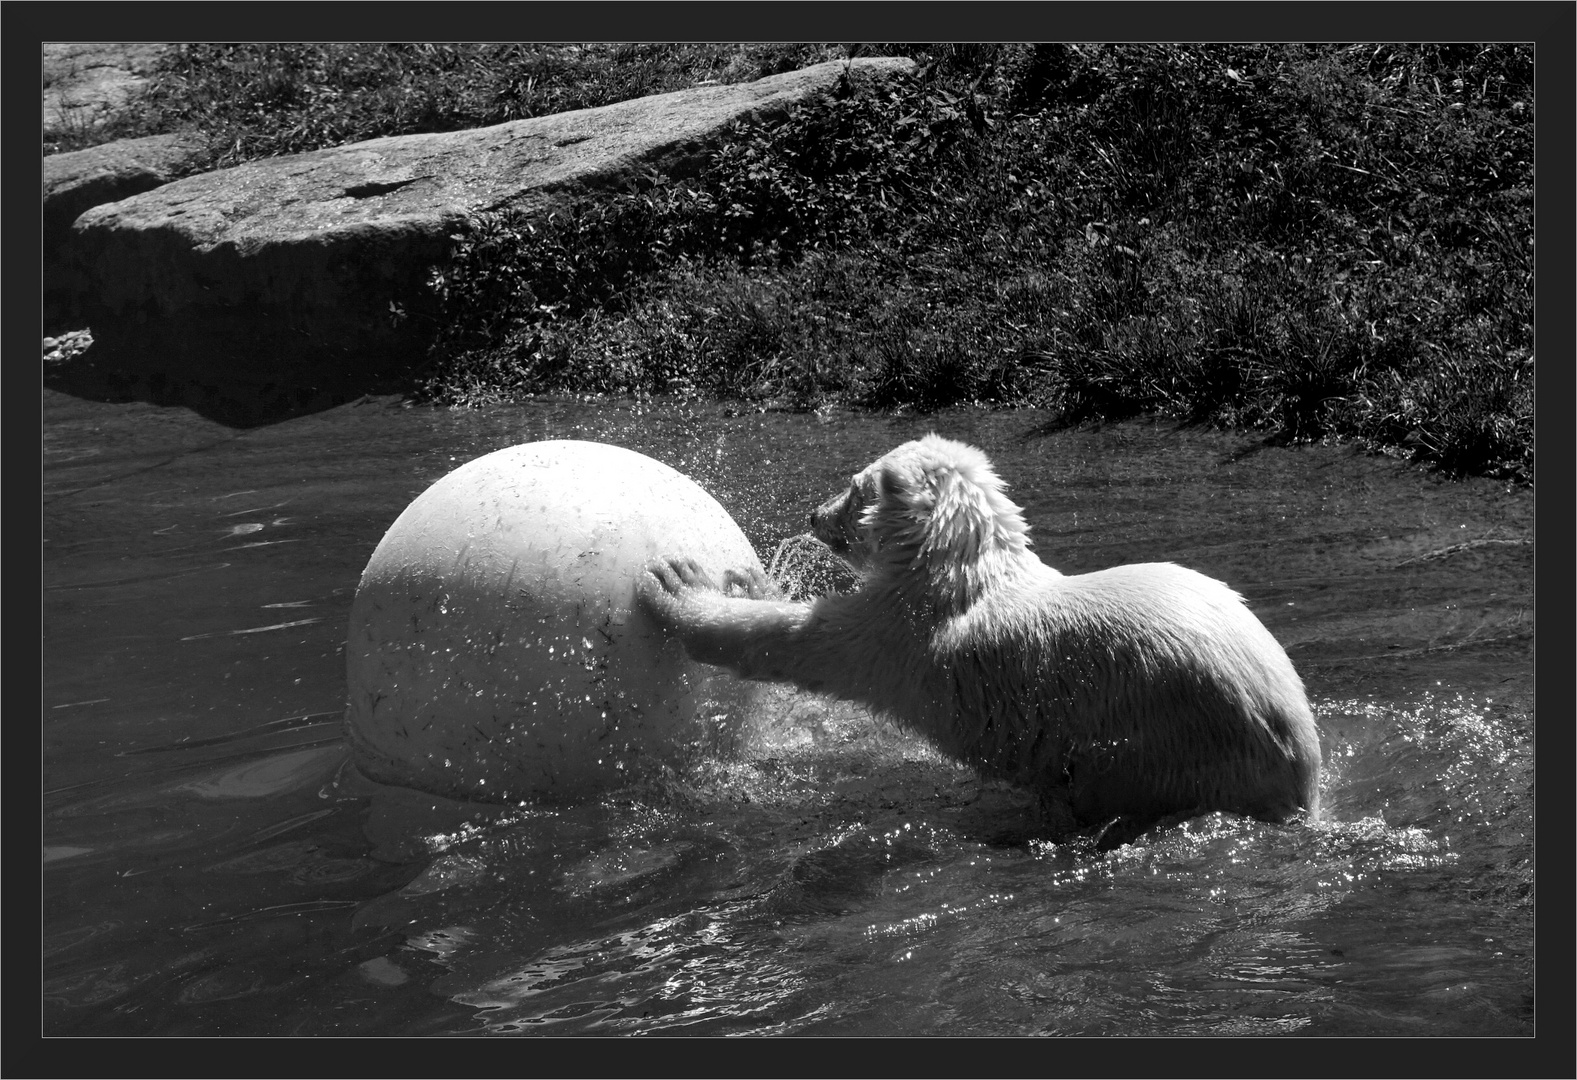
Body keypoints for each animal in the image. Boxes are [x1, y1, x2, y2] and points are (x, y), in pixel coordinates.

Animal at [633, 428, 1324, 845]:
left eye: (853, 486)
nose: (813, 514)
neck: (956, 569)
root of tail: (1302, 777)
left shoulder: (904, 634)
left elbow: (804, 642)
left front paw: (677, 582)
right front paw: (748, 575)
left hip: (1165, 744)